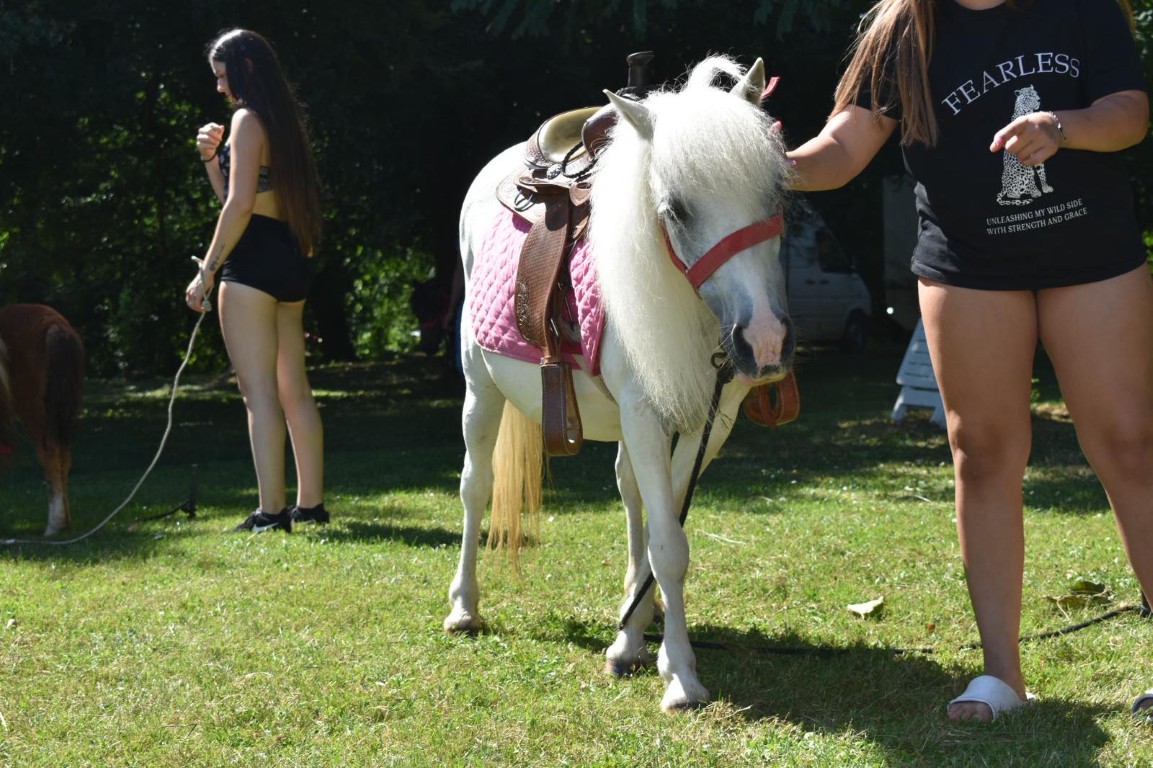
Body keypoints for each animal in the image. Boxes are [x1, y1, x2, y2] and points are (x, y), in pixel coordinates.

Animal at [445, 55, 795, 711]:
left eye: (778, 193)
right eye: (676, 209)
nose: (764, 341)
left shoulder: (711, 423)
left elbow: (663, 530)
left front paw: (634, 636)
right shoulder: (645, 417)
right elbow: (670, 547)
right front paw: (680, 674)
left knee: (629, 493)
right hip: (482, 391)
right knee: (476, 488)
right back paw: (463, 607)